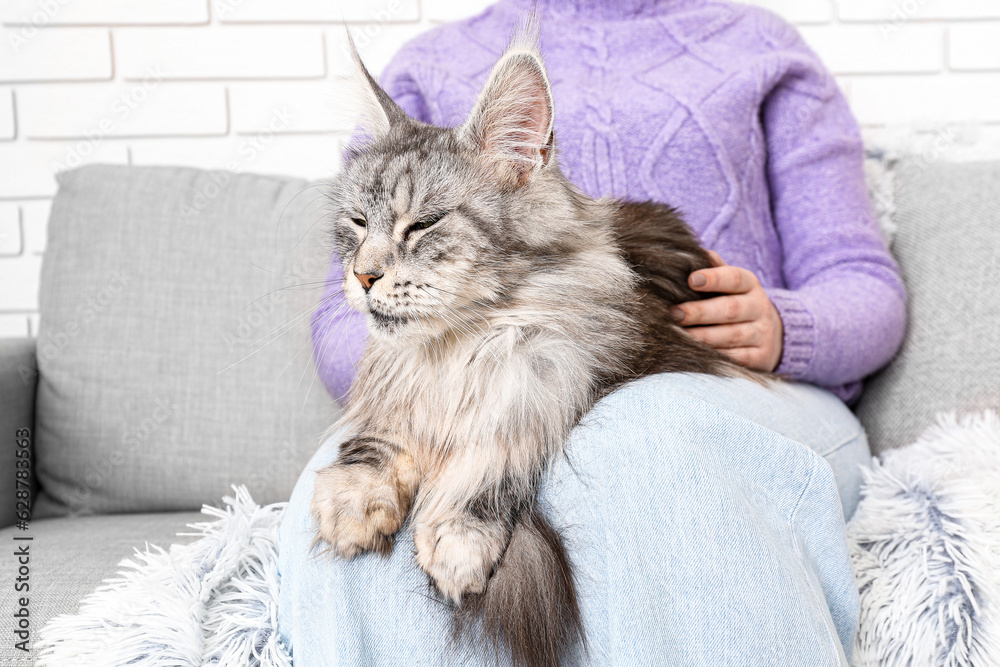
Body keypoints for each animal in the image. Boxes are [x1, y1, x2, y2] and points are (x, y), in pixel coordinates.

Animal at [308, 26, 760, 667]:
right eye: (355, 222)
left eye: (423, 225)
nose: (363, 276)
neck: (463, 348)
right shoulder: (397, 385)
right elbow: (380, 438)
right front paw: (353, 501)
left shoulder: (551, 384)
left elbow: (491, 463)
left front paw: (457, 538)